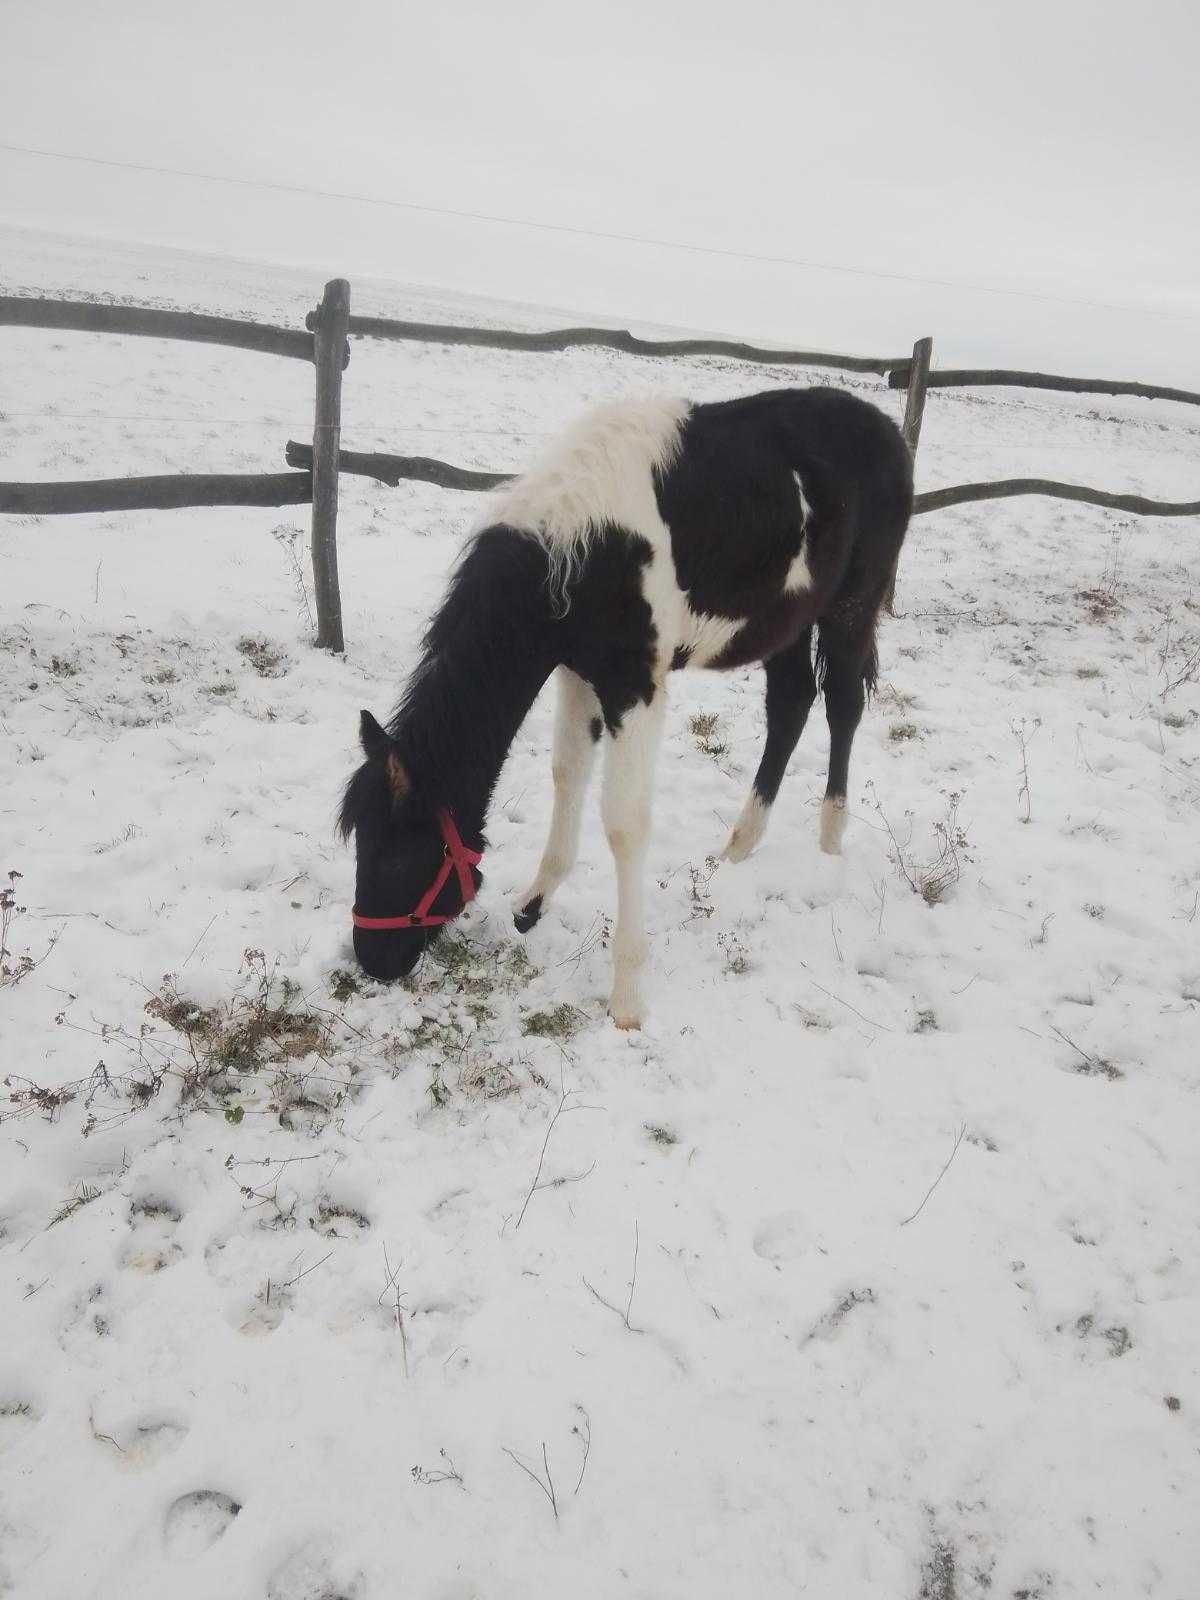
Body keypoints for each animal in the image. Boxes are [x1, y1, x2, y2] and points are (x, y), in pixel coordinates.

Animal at [339, 393, 908, 1030]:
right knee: (790, 703)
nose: (372, 959)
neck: (577, 552)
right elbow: (567, 774)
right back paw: (740, 844)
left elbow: (624, 822)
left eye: (393, 856)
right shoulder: (577, 673)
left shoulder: (634, 686)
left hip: (852, 606)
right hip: (786, 618)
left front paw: (628, 997)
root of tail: (883, 425)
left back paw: (830, 840)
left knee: (843, 704)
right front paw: (534, 902)